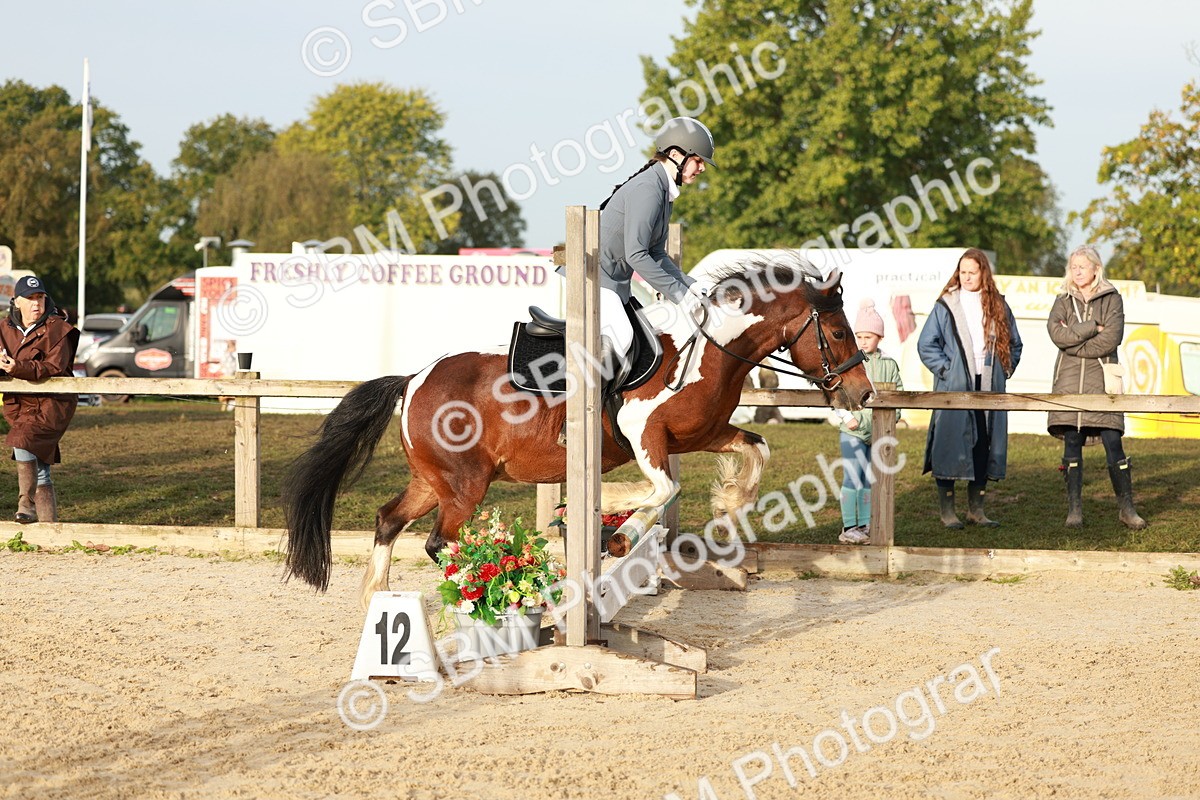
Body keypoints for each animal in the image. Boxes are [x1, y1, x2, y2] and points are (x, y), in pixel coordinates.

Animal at [283, 253, 875, 608]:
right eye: (838, 333)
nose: (863, 394)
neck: (712, 349)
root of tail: (413, 378)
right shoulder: (646, 437)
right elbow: (663, 489)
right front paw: (617, 526)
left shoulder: (702, 435)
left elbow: (757, 448)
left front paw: (729, 503)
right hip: (465, 484)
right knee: (438, 542)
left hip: (433, 480)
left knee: (388, 521)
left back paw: (379, 602)